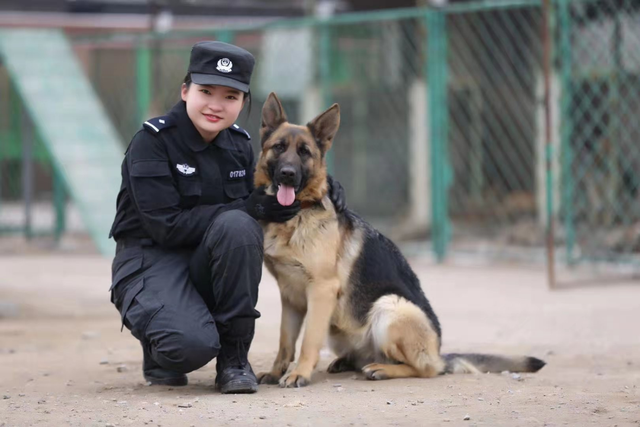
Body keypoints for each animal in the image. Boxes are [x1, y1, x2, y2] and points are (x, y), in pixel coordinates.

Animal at [252, 93, 544, 388]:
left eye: (304, 152)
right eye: (279, 147)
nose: (288, 173)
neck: (294, 217)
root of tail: (439, 352)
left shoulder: (322, 290)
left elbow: (308, 341)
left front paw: (299, 373)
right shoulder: (290, 297)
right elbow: (285, 343)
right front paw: (276, 372)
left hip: (389, 307)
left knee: (425, 368)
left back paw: (382, 369)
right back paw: (350, 362)